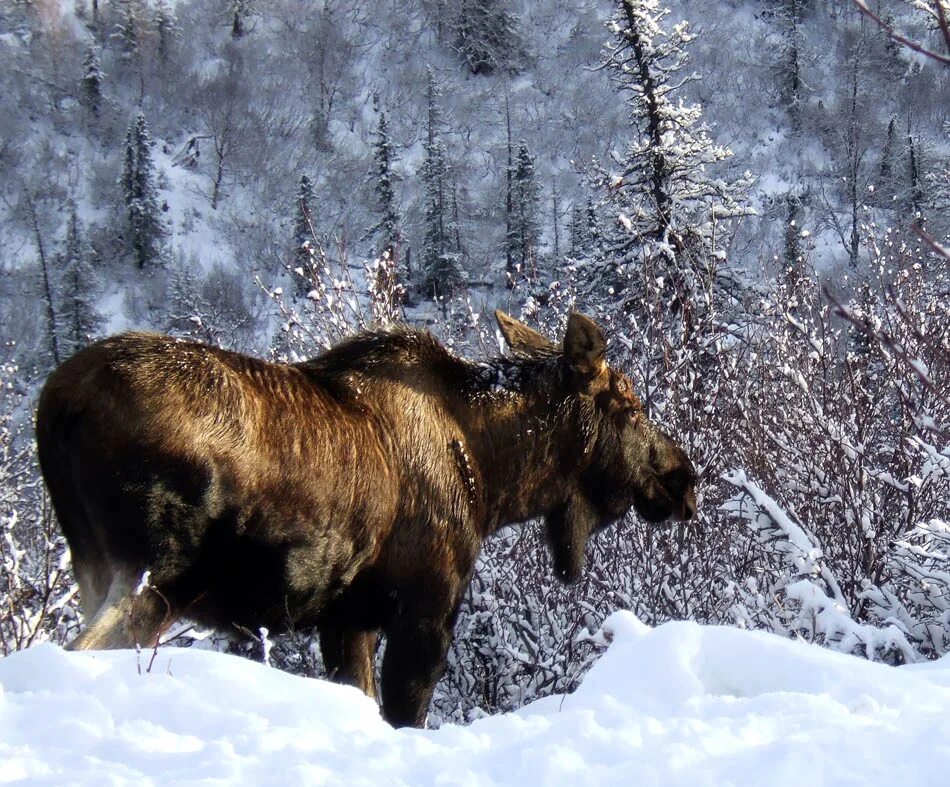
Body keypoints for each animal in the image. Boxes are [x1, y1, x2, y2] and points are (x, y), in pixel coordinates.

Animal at [35, 310, 700, 728]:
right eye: (631, 406)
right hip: (151, 576)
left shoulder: (347, 619)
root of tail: (56, 405)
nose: (685, 479)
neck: (494, 480)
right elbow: (405, 714)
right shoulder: (426, 609)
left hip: (93, 566)